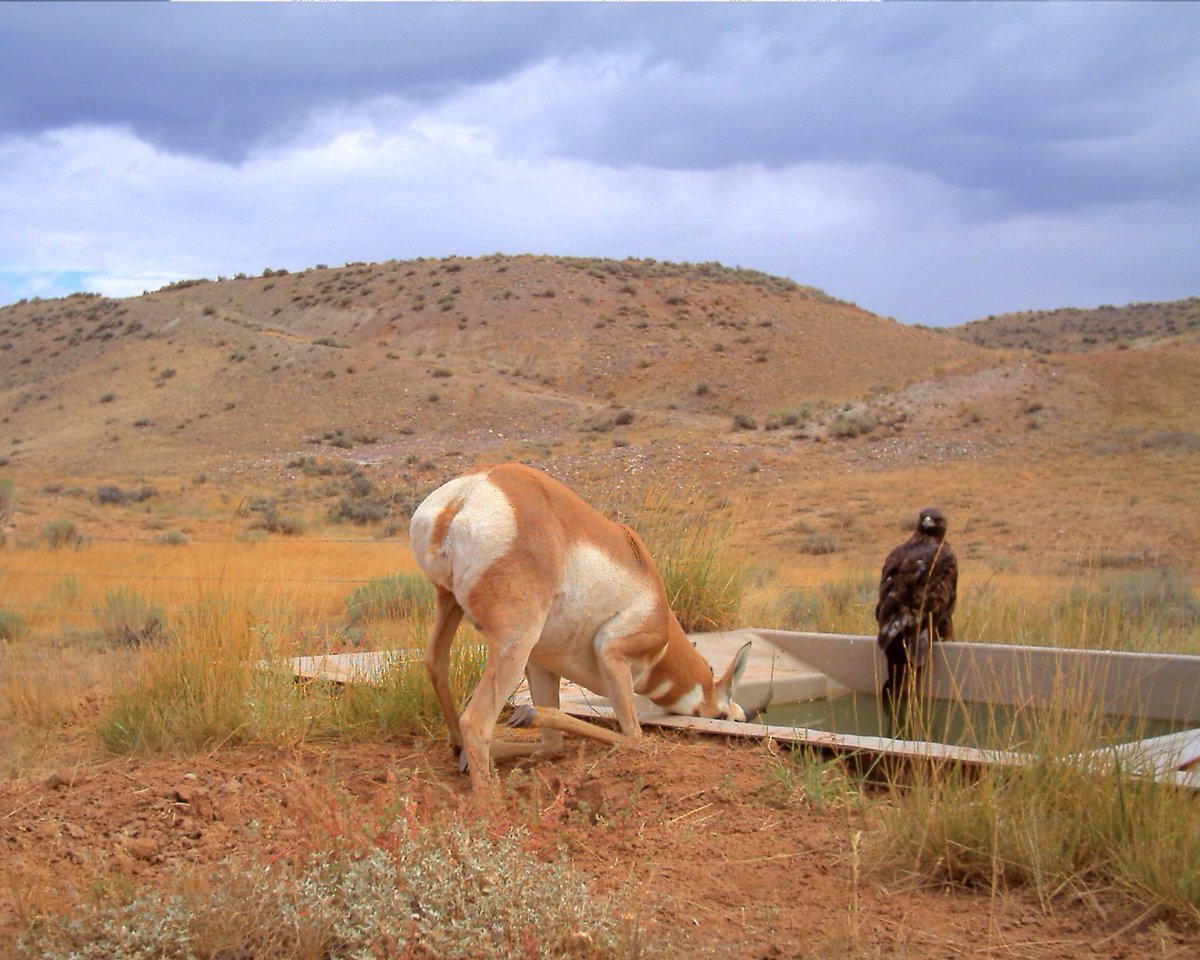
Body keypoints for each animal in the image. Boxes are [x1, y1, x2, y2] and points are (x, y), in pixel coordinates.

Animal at [409, 462, 754, 791]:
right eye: (733, 718)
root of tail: (469, 492)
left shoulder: (541, 665)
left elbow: (553, 744)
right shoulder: (611, 651)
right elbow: (633, 737)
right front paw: (529, 715)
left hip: (450, 602)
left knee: (435, 664)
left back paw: (460, 748)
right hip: (514, 644)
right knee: (476, 722)